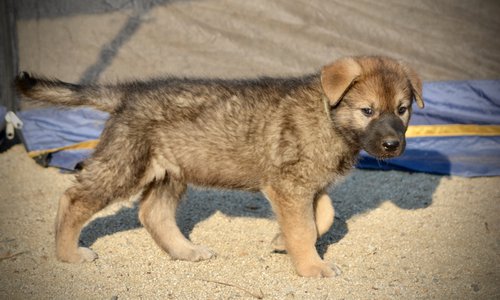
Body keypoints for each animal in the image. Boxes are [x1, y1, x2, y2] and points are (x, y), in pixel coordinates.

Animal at [14, 55, 422, 276]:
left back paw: (186, 251)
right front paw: (312, 267)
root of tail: (129, 94)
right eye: (367, 110)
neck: (328, 115)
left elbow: (323, 218)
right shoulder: (289, 186)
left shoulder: (310, 185)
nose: (393, 145)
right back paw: (69, 254)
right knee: (74, 199)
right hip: (126, 165)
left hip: (171, 171)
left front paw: (281, 242)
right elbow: (306, 228)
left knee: (153, 214)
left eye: (403, 109)